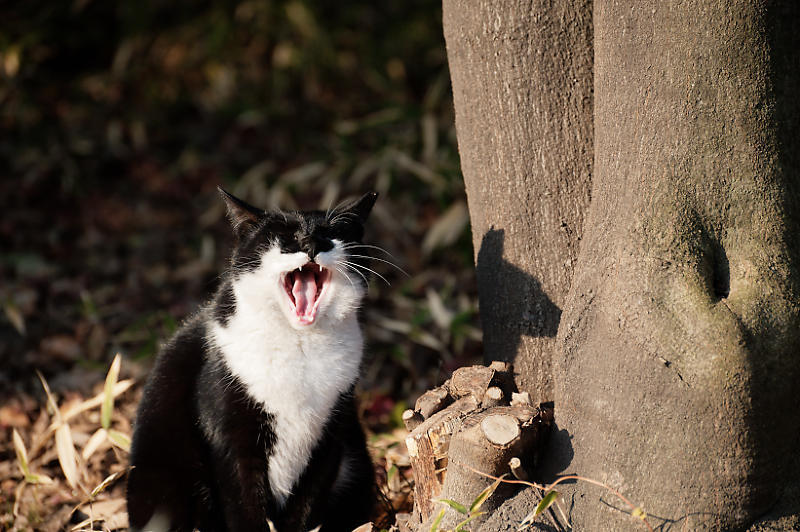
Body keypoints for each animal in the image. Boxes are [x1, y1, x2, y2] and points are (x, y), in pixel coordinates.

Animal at [130, 189, 380, 528]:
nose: (311, 245)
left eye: (331, 234)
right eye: (284, 237)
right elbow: (244, 505)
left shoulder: (330, 438)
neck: (300, 344)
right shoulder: (230, 435)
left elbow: (305, 505)